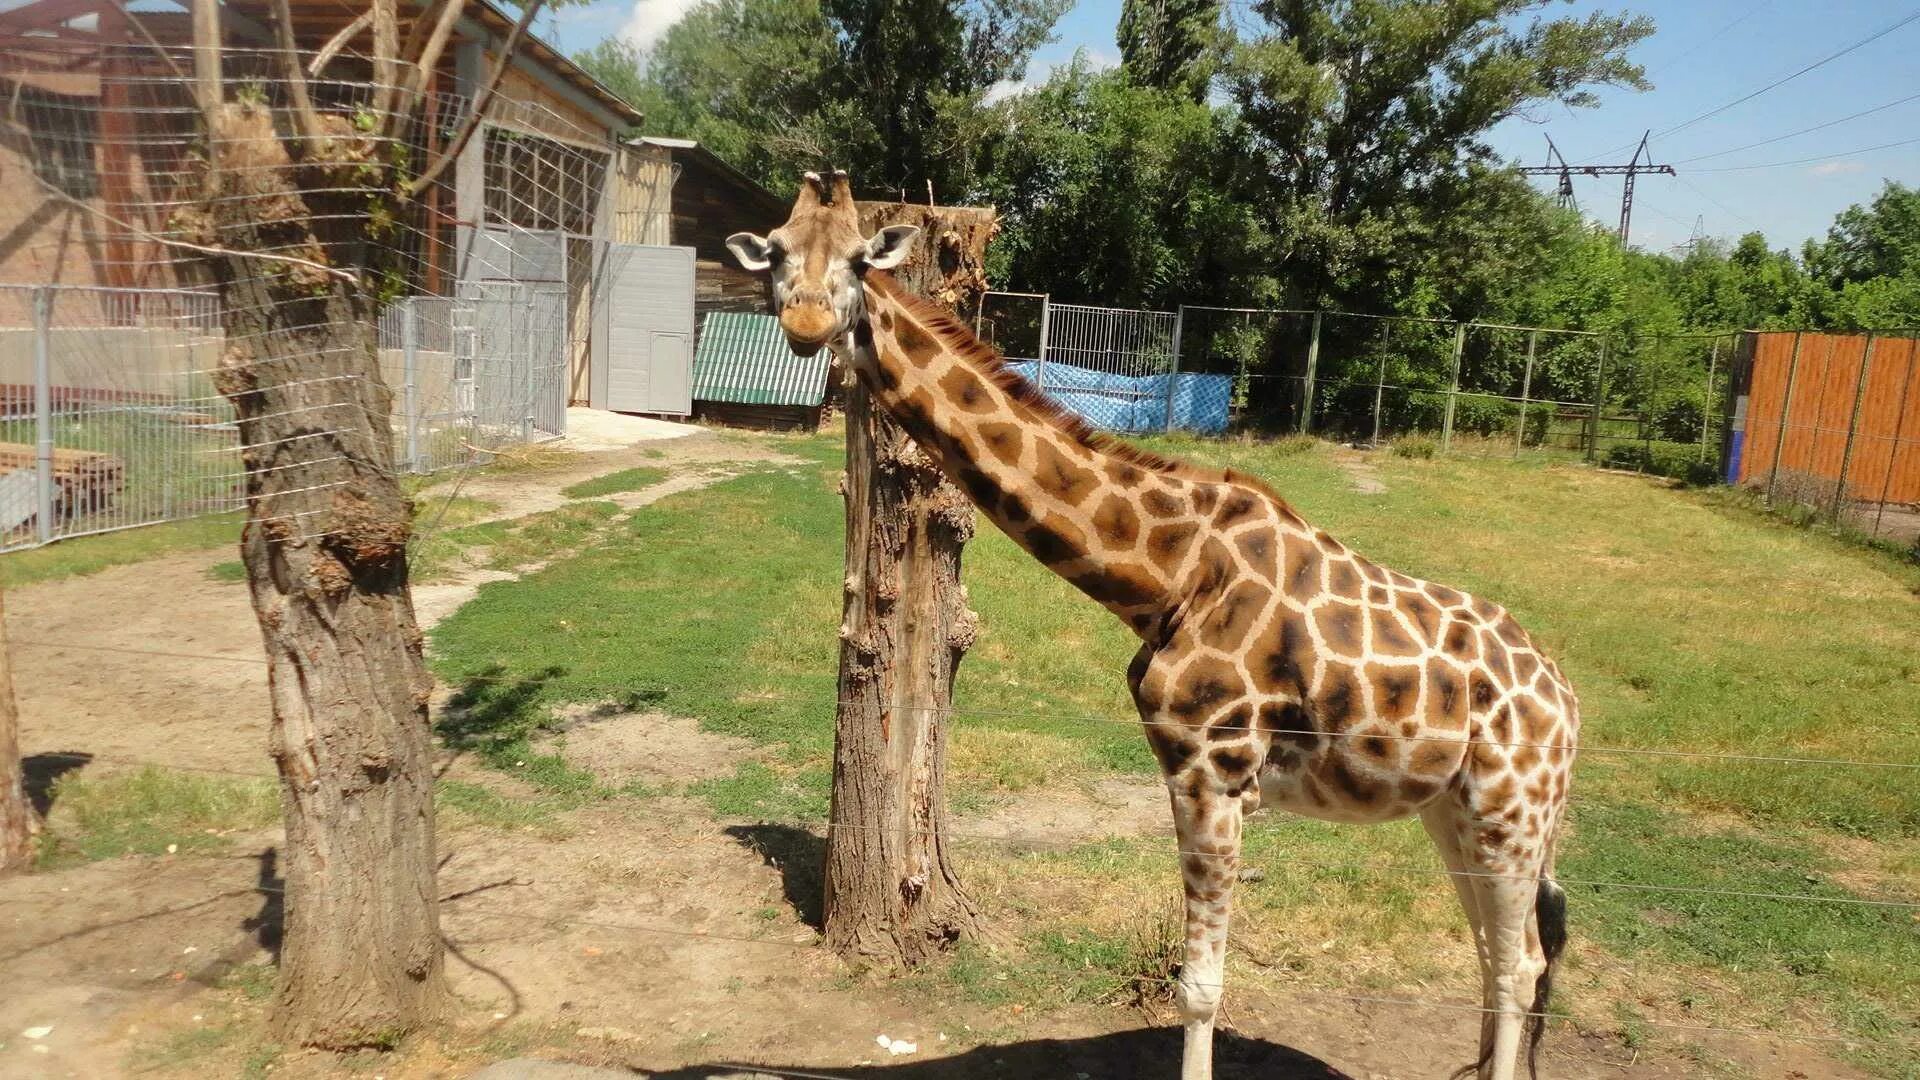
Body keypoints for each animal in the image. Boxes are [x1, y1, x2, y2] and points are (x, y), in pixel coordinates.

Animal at [725, 171, 1582, 1068]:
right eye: (775, 254)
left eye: (859, 260)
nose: (807, 326)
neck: (1165, 577)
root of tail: (1567, 701)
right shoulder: (1191, 772)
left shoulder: (1215, 772)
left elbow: (1199, 986)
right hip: (1455, 809)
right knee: (1498, 955)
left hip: (1512, 807)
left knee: (1520, 963)